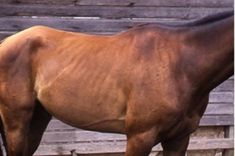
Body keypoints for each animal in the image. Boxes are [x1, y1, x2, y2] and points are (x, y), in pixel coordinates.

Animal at [0, 11, 232, 156]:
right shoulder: (140, 137)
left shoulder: (178, 140)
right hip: (16, 123)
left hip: (37, 119)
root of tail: (7, 42)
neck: (180, 64)